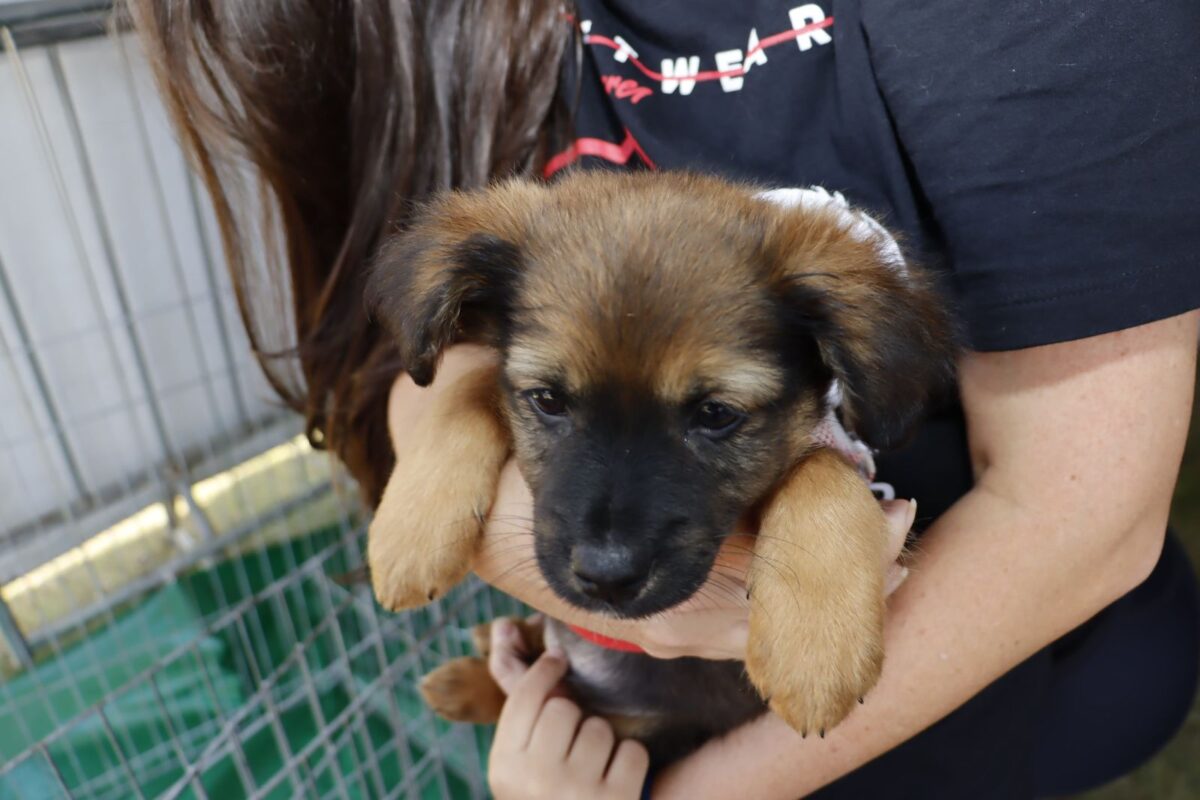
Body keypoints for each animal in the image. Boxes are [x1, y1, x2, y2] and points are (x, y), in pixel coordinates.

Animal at [364, 170, 955, 762]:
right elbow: (470, 384)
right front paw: (410, 534)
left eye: (716, 413)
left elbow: (823, 469)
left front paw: (816, 650)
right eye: (548, 399)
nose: (606, 578)